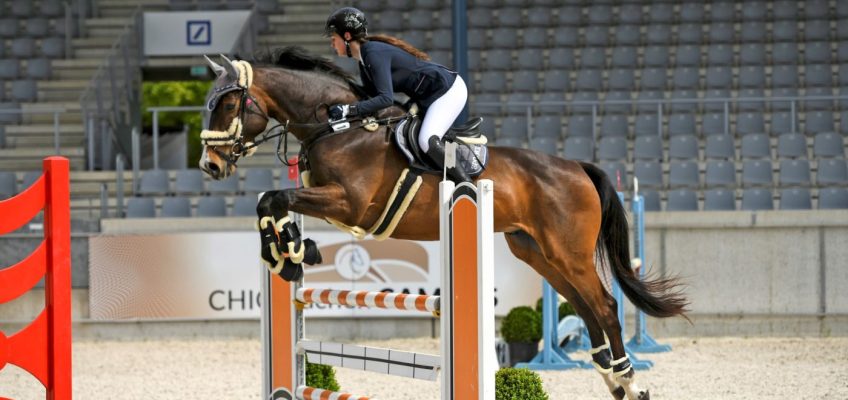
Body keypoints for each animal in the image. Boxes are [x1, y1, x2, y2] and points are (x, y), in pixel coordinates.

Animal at [195, 47, 684, 400]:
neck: (339, 129)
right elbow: (271, 202)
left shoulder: (350, 204)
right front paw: (293, 253)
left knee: (605, 305)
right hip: (538, 253)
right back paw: (612, 380)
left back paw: (631, 383)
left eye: (230, 102)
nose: (210, 166)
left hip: (570, 252)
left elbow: (274, 198)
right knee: (584, 308)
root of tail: (577, 167)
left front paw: (292, 256)